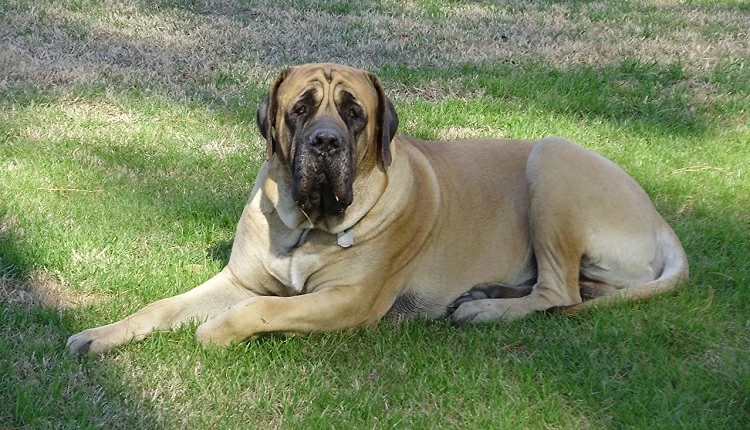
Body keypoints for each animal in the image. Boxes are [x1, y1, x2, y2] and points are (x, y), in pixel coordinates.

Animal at [67, 63, 688, 355]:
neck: (307, 227)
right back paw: (492, 292)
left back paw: (485, 309)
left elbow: (257, 311)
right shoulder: (238, 278)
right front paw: (100, 334)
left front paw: (217, 329)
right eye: (299, 109)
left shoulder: (348, 302)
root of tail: (661, 222)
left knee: (561, 294)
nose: (325, 143)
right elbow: (162, 306)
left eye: (353, 112)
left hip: (553, 157)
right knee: (577, 290)